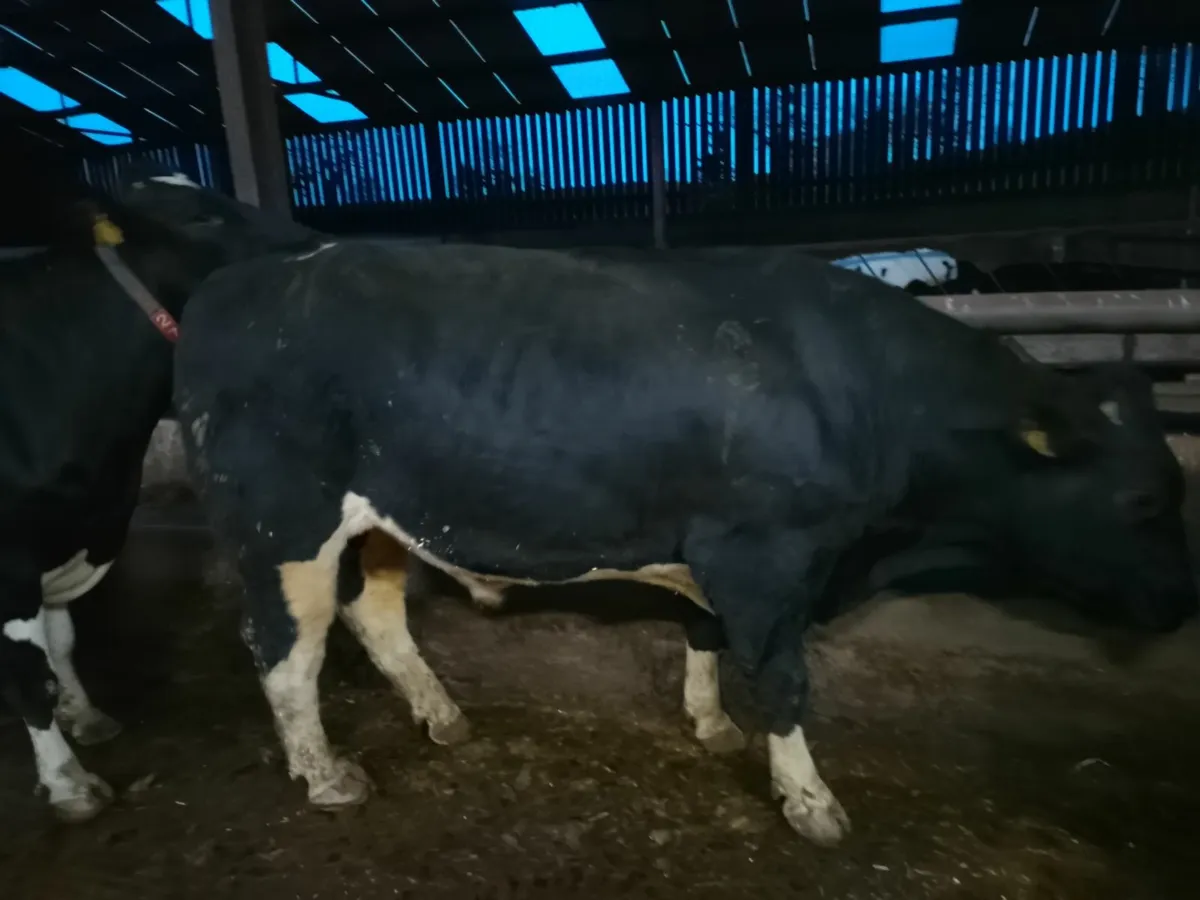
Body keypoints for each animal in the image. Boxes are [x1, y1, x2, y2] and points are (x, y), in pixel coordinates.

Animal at [0, 169, 320, 823]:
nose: (309, 240)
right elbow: (28, 671)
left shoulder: (71, 527)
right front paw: (68, 781)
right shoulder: (10, 556)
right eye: (200, 216)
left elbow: (60, 645)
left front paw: (86, 716)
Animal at [120, 173, 1196, 846]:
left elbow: (704, 635)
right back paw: (328, 776)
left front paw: (711, 725)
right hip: (279, 521)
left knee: (374, 617)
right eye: (1143, 498)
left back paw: (443, 716)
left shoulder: (722, 548)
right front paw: (809, 801)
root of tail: (259, 269)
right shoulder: (766, 555)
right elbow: (786, 681)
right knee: (284, 652)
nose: (1180, 603)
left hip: (387, 516)